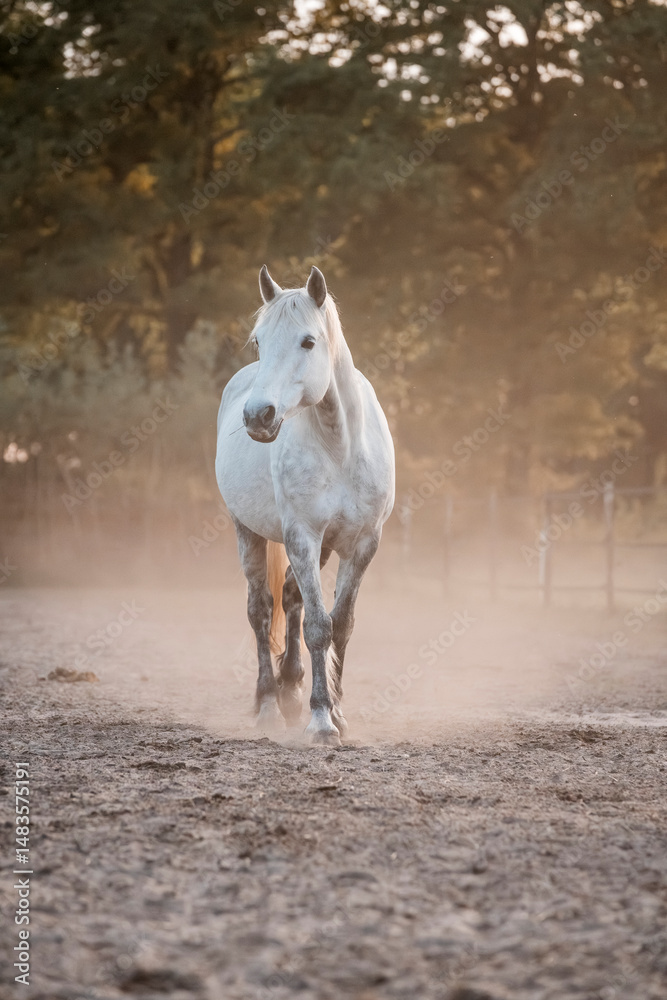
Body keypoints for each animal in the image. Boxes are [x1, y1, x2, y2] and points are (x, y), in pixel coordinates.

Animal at [215, 265, 395, 745]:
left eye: (308, 341)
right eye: (260, 342)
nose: (257, 416)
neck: (341, 447)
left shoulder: (361, 545)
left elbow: (341, 625)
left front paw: (338, 712)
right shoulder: (302, 537)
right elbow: (318, 627)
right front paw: (321, 720)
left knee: (292, 599)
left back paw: (292, 689)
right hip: (248, 531)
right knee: (262, 610)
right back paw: (269, 705)